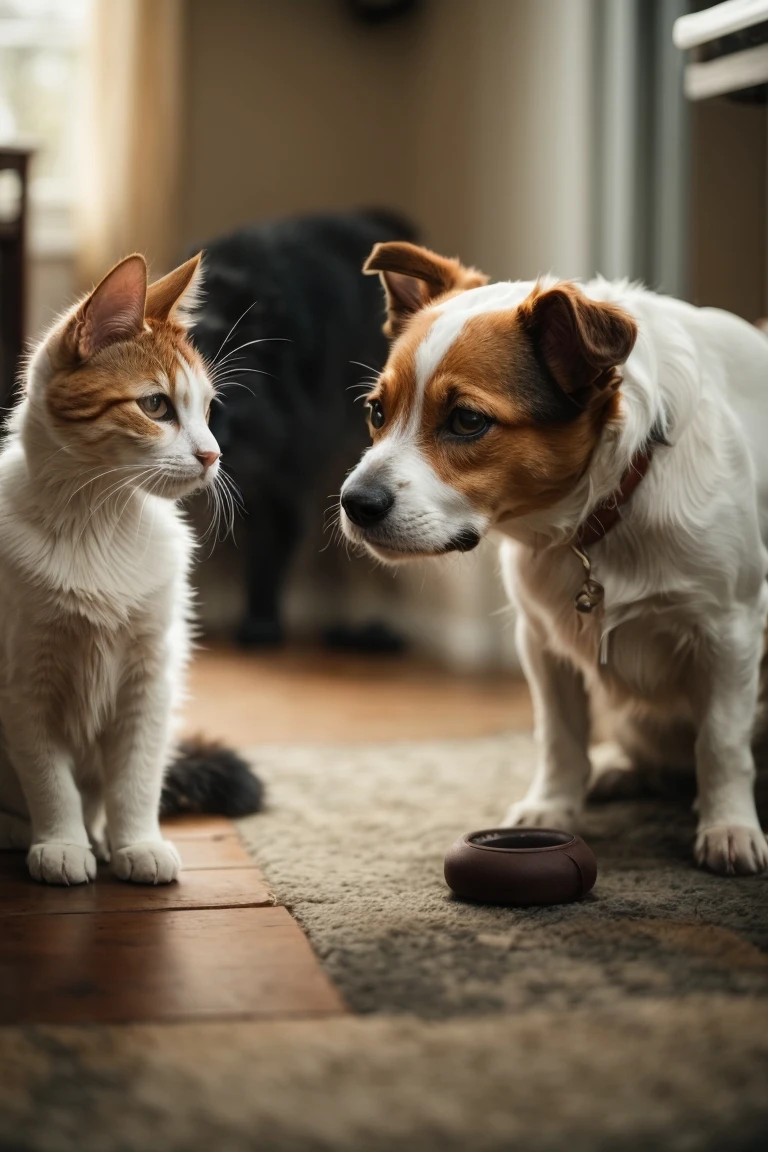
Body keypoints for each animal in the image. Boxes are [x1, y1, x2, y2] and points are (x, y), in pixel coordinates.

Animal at [0, 249, 261, 880]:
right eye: (155, 405)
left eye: (208, 409)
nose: (213, 454)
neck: (99, 524)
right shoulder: (24, 682)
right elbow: (49, 778)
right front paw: (61, 842)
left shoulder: (152, 677)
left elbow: (136, 777)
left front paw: (135, 842)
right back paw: (15, 830)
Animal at [338, 240, 768, 870]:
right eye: (376, 412)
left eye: (467, 420)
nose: (354, 503)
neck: (608, 507)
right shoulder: (543, 638)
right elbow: (561, 735)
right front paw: (553, 809)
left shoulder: (730, 630)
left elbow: (721, 739)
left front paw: (729, 826)